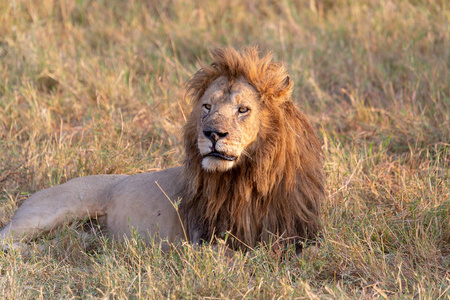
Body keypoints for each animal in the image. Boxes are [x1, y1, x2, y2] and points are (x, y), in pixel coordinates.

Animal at [0, 47, 324, 253]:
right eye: (207, 107)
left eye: (243, 109)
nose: (212, 133)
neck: (249, 178)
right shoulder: (204, 240)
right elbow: (240, 257)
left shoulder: (301, 232)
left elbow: (308, 253)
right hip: (47, 213)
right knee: (7, 241)